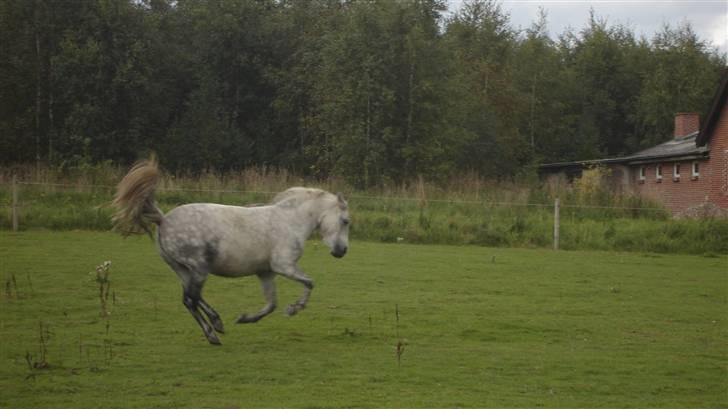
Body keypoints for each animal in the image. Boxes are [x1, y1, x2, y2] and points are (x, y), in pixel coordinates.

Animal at [112, 158, 352, 342]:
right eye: (345, 221)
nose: (341, 251)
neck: (290, 221)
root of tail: (163, 220)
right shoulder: (284, 266)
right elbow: (309, 283)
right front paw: (294, 308)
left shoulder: (266, 272)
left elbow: (271, 304)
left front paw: (247, 318)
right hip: (199, 268)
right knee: (191, 299)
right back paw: (212, 334)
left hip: (183, 270)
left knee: (191, 298)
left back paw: (217, 323)